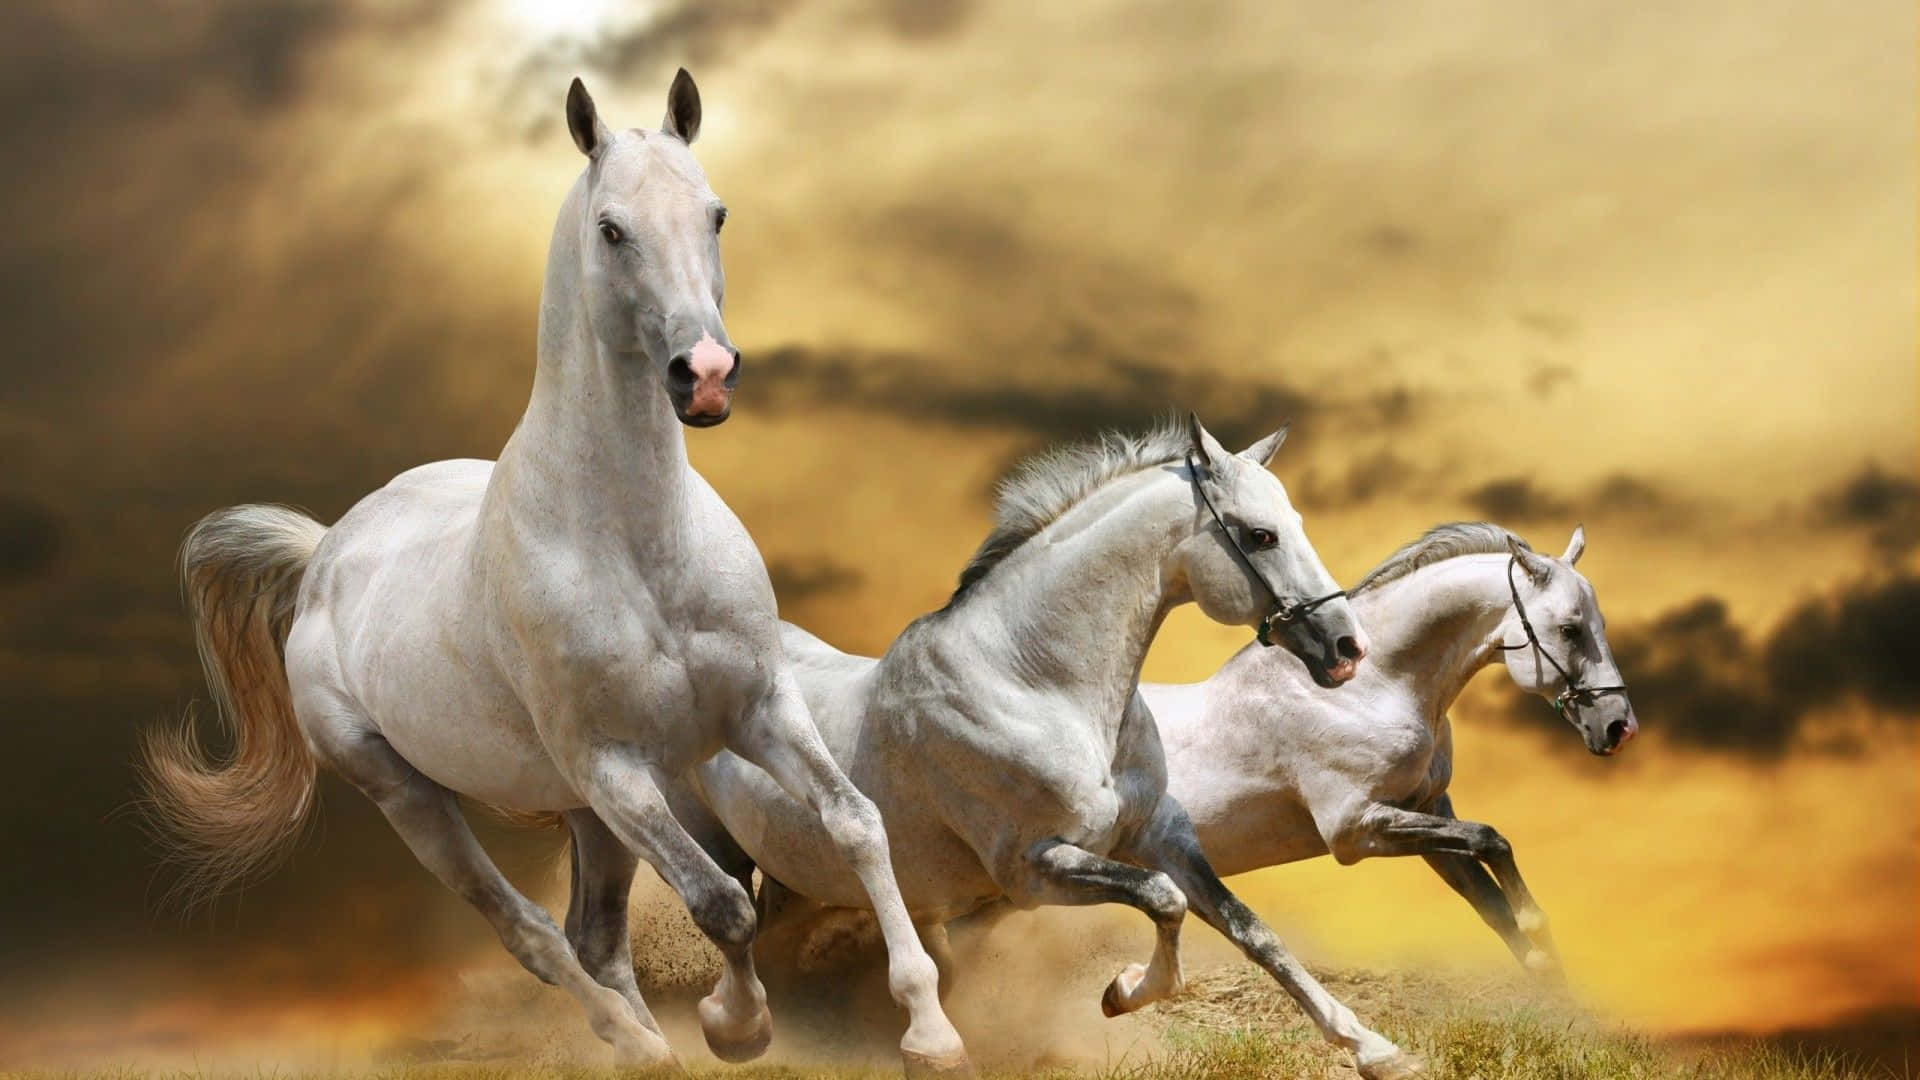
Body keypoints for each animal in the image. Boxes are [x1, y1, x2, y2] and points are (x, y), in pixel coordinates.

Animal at [139, 72, 964, 1074]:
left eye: (717, 213)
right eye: (611, 228)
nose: (706, 375)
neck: (641, 551)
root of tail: (329, 549)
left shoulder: (757, 711)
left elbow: (854, 823)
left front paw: (928, 1027)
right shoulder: (614, 766)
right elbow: (724, 901)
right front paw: (736, 1026)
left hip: (584, 815)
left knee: (593, 938)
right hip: (415, 795)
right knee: (530, 932)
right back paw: (638, 1044)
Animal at [675, 418, 1424, 1079]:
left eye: (1294, 521)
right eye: (1259, 535)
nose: (1347, 648)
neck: (1036, 684)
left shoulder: (1159, 833)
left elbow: (1250, 929)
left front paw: (1378, 1052)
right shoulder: (1034, 868)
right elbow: (1164, 901)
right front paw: (1124, 991)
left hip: (797, 878)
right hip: (714, 846)